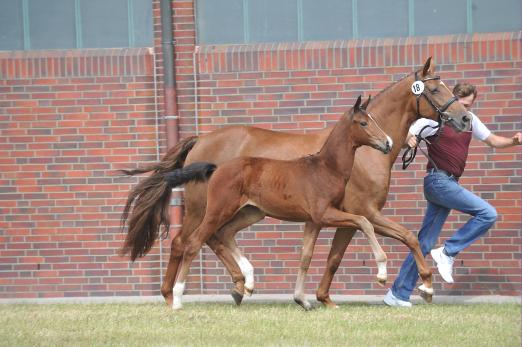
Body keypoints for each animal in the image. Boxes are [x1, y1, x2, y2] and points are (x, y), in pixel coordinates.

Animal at [120, 57, 470, 310]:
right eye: (435, 90)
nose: (465, 119)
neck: (355, 156)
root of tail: (199, 142)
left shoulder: (337, 218)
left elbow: (331, 256)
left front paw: (319, 298)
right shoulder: (364, 213)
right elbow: (401, 238)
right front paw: (425, 285)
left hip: (248, 211)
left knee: (217, 238)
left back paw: (240, 285)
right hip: (201, 208)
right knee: (185, 242)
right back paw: (173, 295)